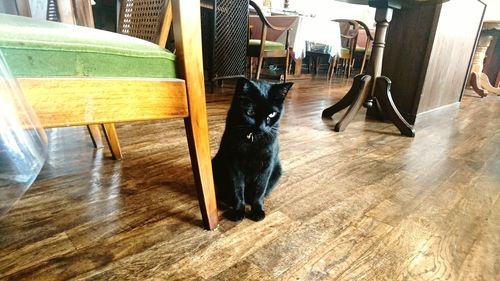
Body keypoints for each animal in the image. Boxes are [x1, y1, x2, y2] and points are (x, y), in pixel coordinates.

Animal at [212, 77, 292, 221]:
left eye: (272, 114)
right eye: (250, 112)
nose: (261, 127)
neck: (253, 140)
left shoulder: (266, 166)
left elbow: (260, 190)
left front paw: (257, 210)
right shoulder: (234, 166)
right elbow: (237, 189)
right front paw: (238, 210)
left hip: (277, 170)